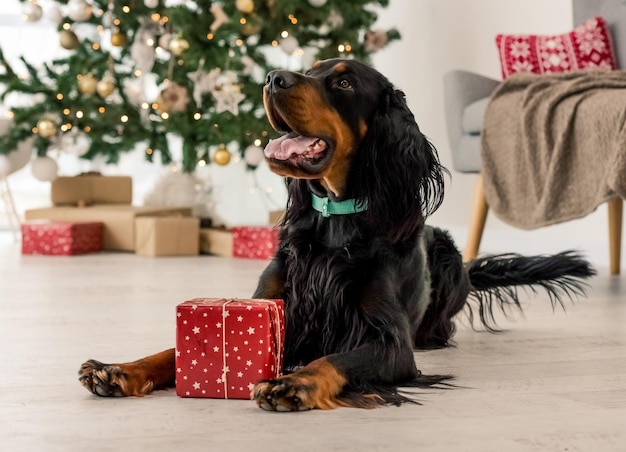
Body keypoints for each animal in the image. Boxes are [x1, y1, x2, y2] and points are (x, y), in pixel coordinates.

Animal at [79, 59, 596, 410]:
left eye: (344, 82)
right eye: (308, 70)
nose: (272, 77)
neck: (335, 219)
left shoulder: (390, 342)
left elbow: (338, 360)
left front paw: (294, 383)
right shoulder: (277, 306)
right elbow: (171, 349)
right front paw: (118, 369)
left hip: (448, 256)